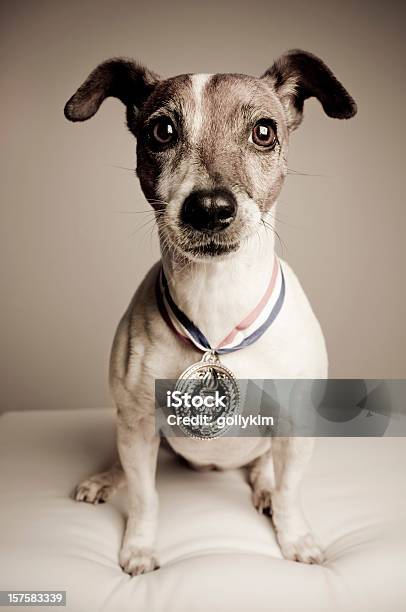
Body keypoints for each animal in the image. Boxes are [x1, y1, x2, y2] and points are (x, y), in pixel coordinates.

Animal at [63, 50, 356, 576]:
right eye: (162, 131)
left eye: (264, 131)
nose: (210, 207)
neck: (217, 301)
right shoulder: (137, 422)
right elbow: (145, 498)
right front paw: (139, 547)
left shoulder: (296, 425)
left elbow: (291, 490)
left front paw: (295, 537)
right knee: (131, 469)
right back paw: (106, 479)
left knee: (264, 470)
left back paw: (263, 489)